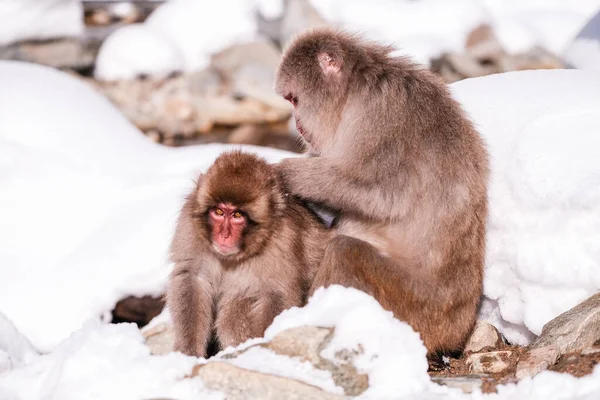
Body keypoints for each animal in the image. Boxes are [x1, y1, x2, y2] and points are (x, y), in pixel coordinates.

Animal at [166, 152, 330, 358]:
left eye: (237, 215)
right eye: (219, 211)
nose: (224, 235)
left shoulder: (283, 239)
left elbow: (276, 293)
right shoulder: (189, 225)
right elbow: (192, 278)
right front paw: (188, 352)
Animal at [274, 27, 490, 354]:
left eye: (294, 99)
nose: (297, 124)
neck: (353, 91)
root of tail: (458, 330)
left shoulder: (380, 115)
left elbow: (385, 196)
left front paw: (288, 174)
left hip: (416, 309)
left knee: (344, 251)